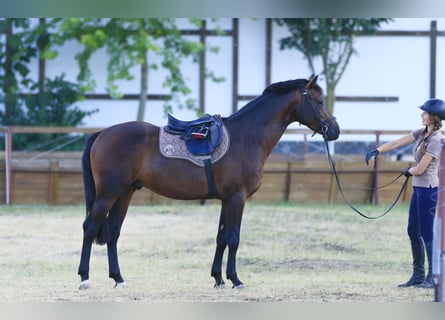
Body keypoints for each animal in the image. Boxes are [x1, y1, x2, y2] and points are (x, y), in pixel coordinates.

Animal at [78, 75, 338, 290]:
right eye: (319, 101)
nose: (334, 130)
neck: (247, 137)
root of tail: (102, 133)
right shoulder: (237, 198)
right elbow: (233, 238)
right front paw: (235, 279)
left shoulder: (226, 199)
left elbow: (221, 238)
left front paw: (218, 278)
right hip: (107, 194)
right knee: (90, 228)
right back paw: (84, 278)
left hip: (125, 193)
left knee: (113, 232)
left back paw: (118, 278)